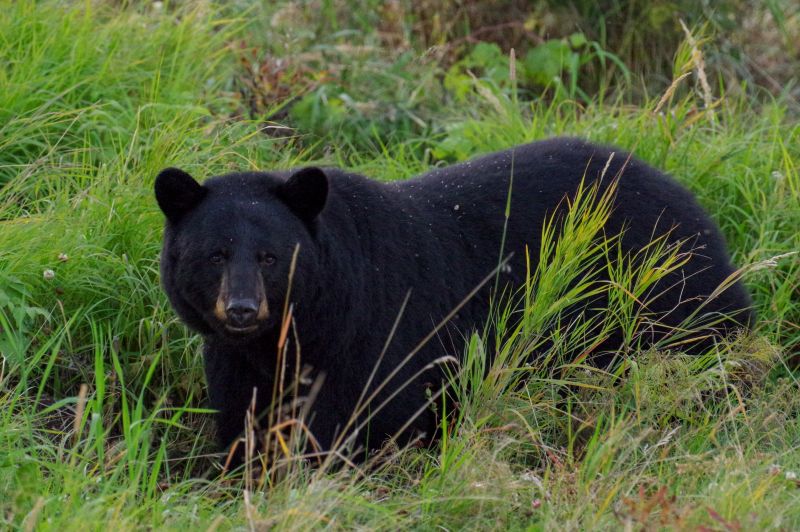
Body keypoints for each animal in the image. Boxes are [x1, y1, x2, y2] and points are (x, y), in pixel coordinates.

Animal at [155, 137, 753, 461]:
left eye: (271, 257)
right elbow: (243, 425)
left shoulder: (373, 337)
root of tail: (694, 205)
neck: (304, 329)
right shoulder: (237, 361)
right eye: (215, 254)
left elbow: (377, 419)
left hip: (662, 297)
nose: (242, 310)